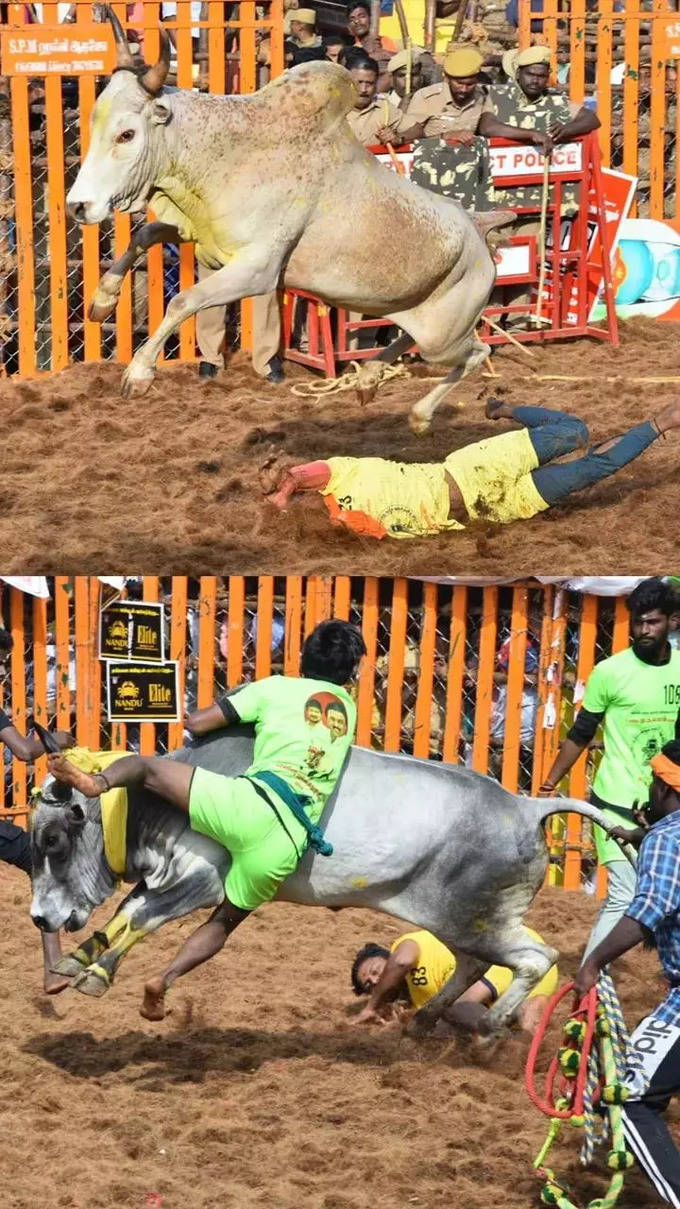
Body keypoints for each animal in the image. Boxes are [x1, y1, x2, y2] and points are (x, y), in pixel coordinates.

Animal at [30, 730, 624, 1034]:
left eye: (53, 840)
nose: (39, 917)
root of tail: (525, 806)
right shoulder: (172, 878)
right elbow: (127, 914)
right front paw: (75, 963)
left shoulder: (206, 881)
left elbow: (142, 917)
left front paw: (95, 974)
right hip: (460, 921)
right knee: (476, 965)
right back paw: (424, 1020)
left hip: (481, 919)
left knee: (537, 959)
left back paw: (492, 1028)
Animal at [64, 11, 508, 435]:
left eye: (126, 134)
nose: (78, 206)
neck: (224, 156)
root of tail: (477, 228)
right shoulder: (205, 240)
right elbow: (146, 233)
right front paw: (102, 301)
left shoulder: (256, 272)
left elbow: (182, 300)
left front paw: (138, 374)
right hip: (413, 317)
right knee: (410, 338)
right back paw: (368, 379)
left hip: (444, 338)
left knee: (478, 353)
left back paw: (418, 415)